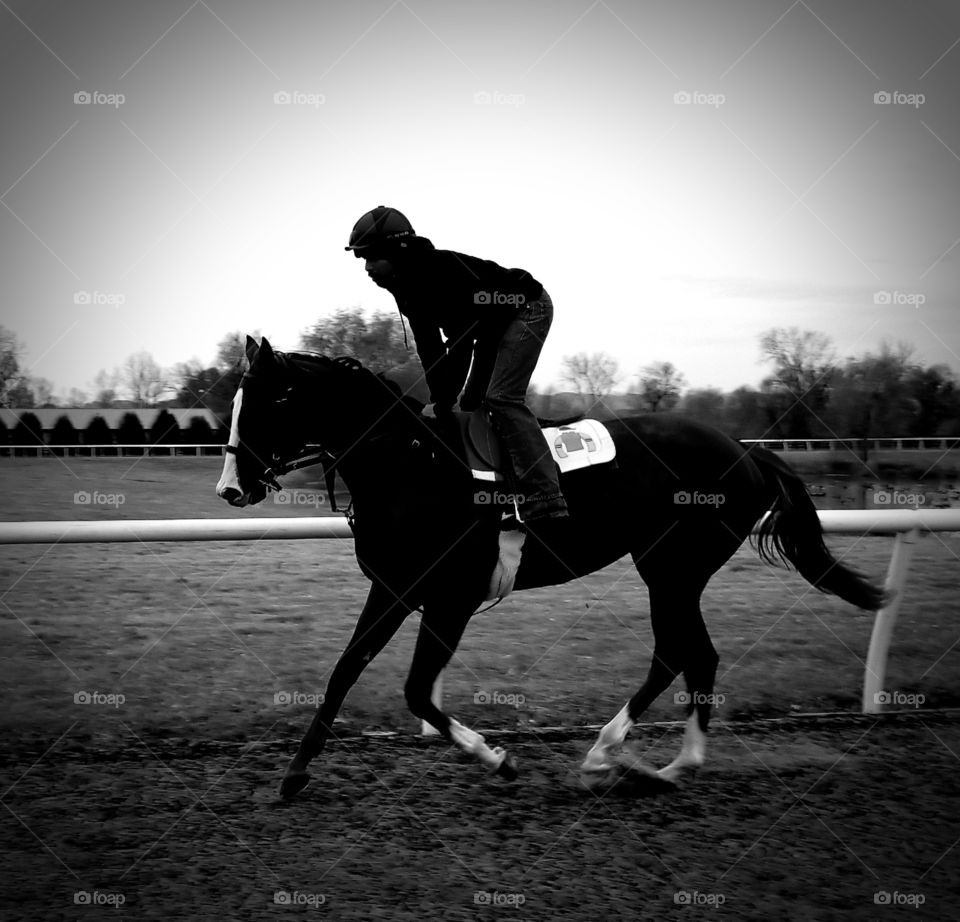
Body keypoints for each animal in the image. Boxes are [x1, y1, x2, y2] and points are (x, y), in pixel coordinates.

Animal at [218, 334, 884, 796]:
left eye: (268, 401)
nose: (231, 488)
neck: (412, 466)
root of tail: (746, 453)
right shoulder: (394, 588)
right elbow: (343, 671)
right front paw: (295, 774)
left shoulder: (451, 597)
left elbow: (415, 690)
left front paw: (496, 758)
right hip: (671, 571)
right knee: (689, 654)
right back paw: (665, 762)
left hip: (671, 569)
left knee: (683, 651)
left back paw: (623, 754)